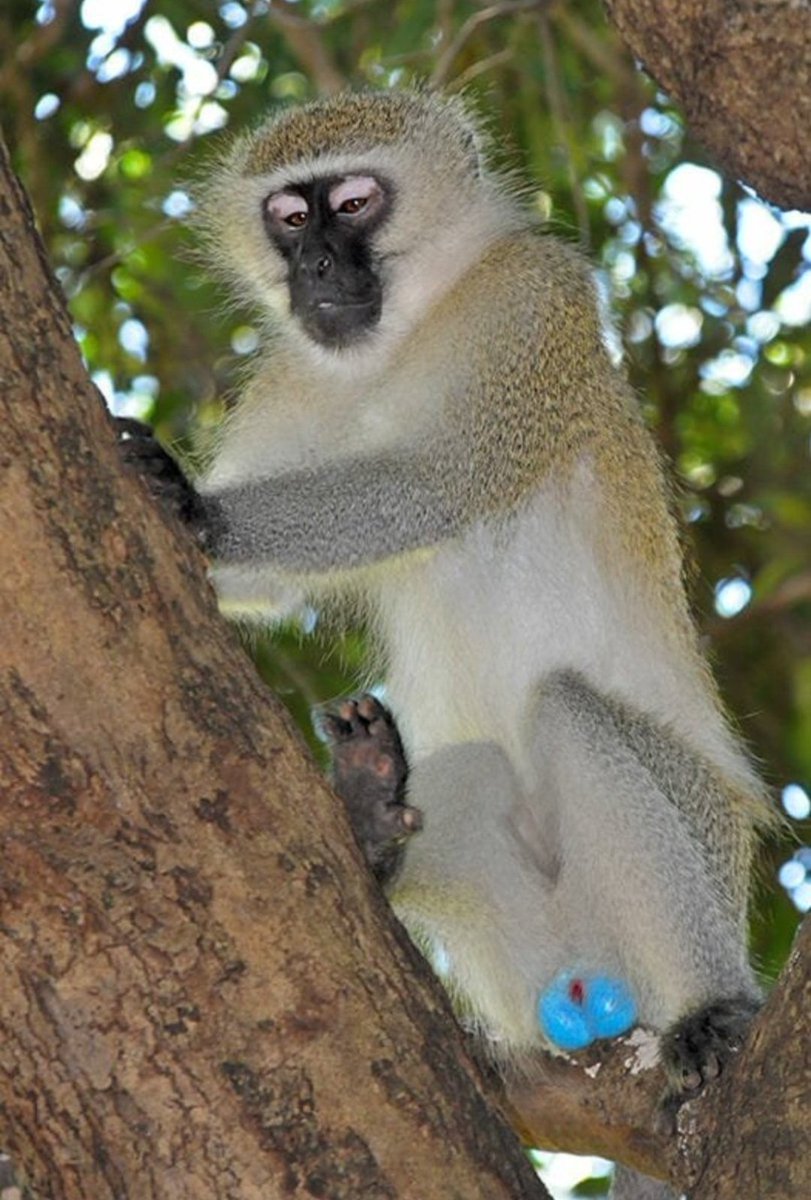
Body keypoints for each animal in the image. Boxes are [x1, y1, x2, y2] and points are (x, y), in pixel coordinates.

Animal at [118, 90, 773, 1199]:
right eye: (288, 218)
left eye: (353, 202)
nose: (315, 267)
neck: (408, 332)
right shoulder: (294, 375)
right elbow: (265, 587)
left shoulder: (532, 303)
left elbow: (428, 485)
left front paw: (200, 508)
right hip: (523, 955)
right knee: (466, 774)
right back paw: (372, 814)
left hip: (701, 846)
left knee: (571, 713)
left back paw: (705, 1010)